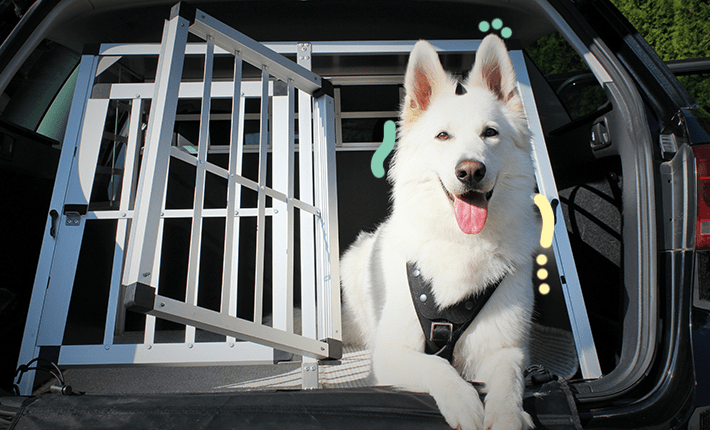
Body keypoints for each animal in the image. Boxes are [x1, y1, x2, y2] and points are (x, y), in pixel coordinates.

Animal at [344, 34, 540, 430]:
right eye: (443, 135)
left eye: (490, 133)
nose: (470, 171)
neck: (461, 242)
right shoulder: (391, 353)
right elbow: (436, 366)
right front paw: (464, 403)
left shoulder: (506, 350)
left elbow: (509, 380)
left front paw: (508, 415)